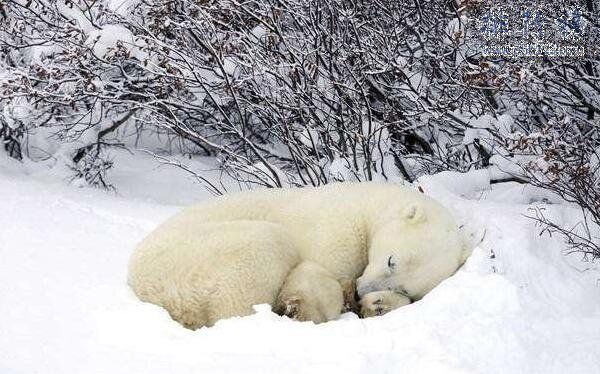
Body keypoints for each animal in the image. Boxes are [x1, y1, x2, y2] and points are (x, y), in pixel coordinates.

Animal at [127, 183, 474, 328]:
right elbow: (316, 273)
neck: (367, 206)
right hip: (200, 256)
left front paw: (378, 305)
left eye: (404, 285)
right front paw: (313, 305)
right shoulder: (335, 230)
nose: (362, 291)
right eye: (391, 260)